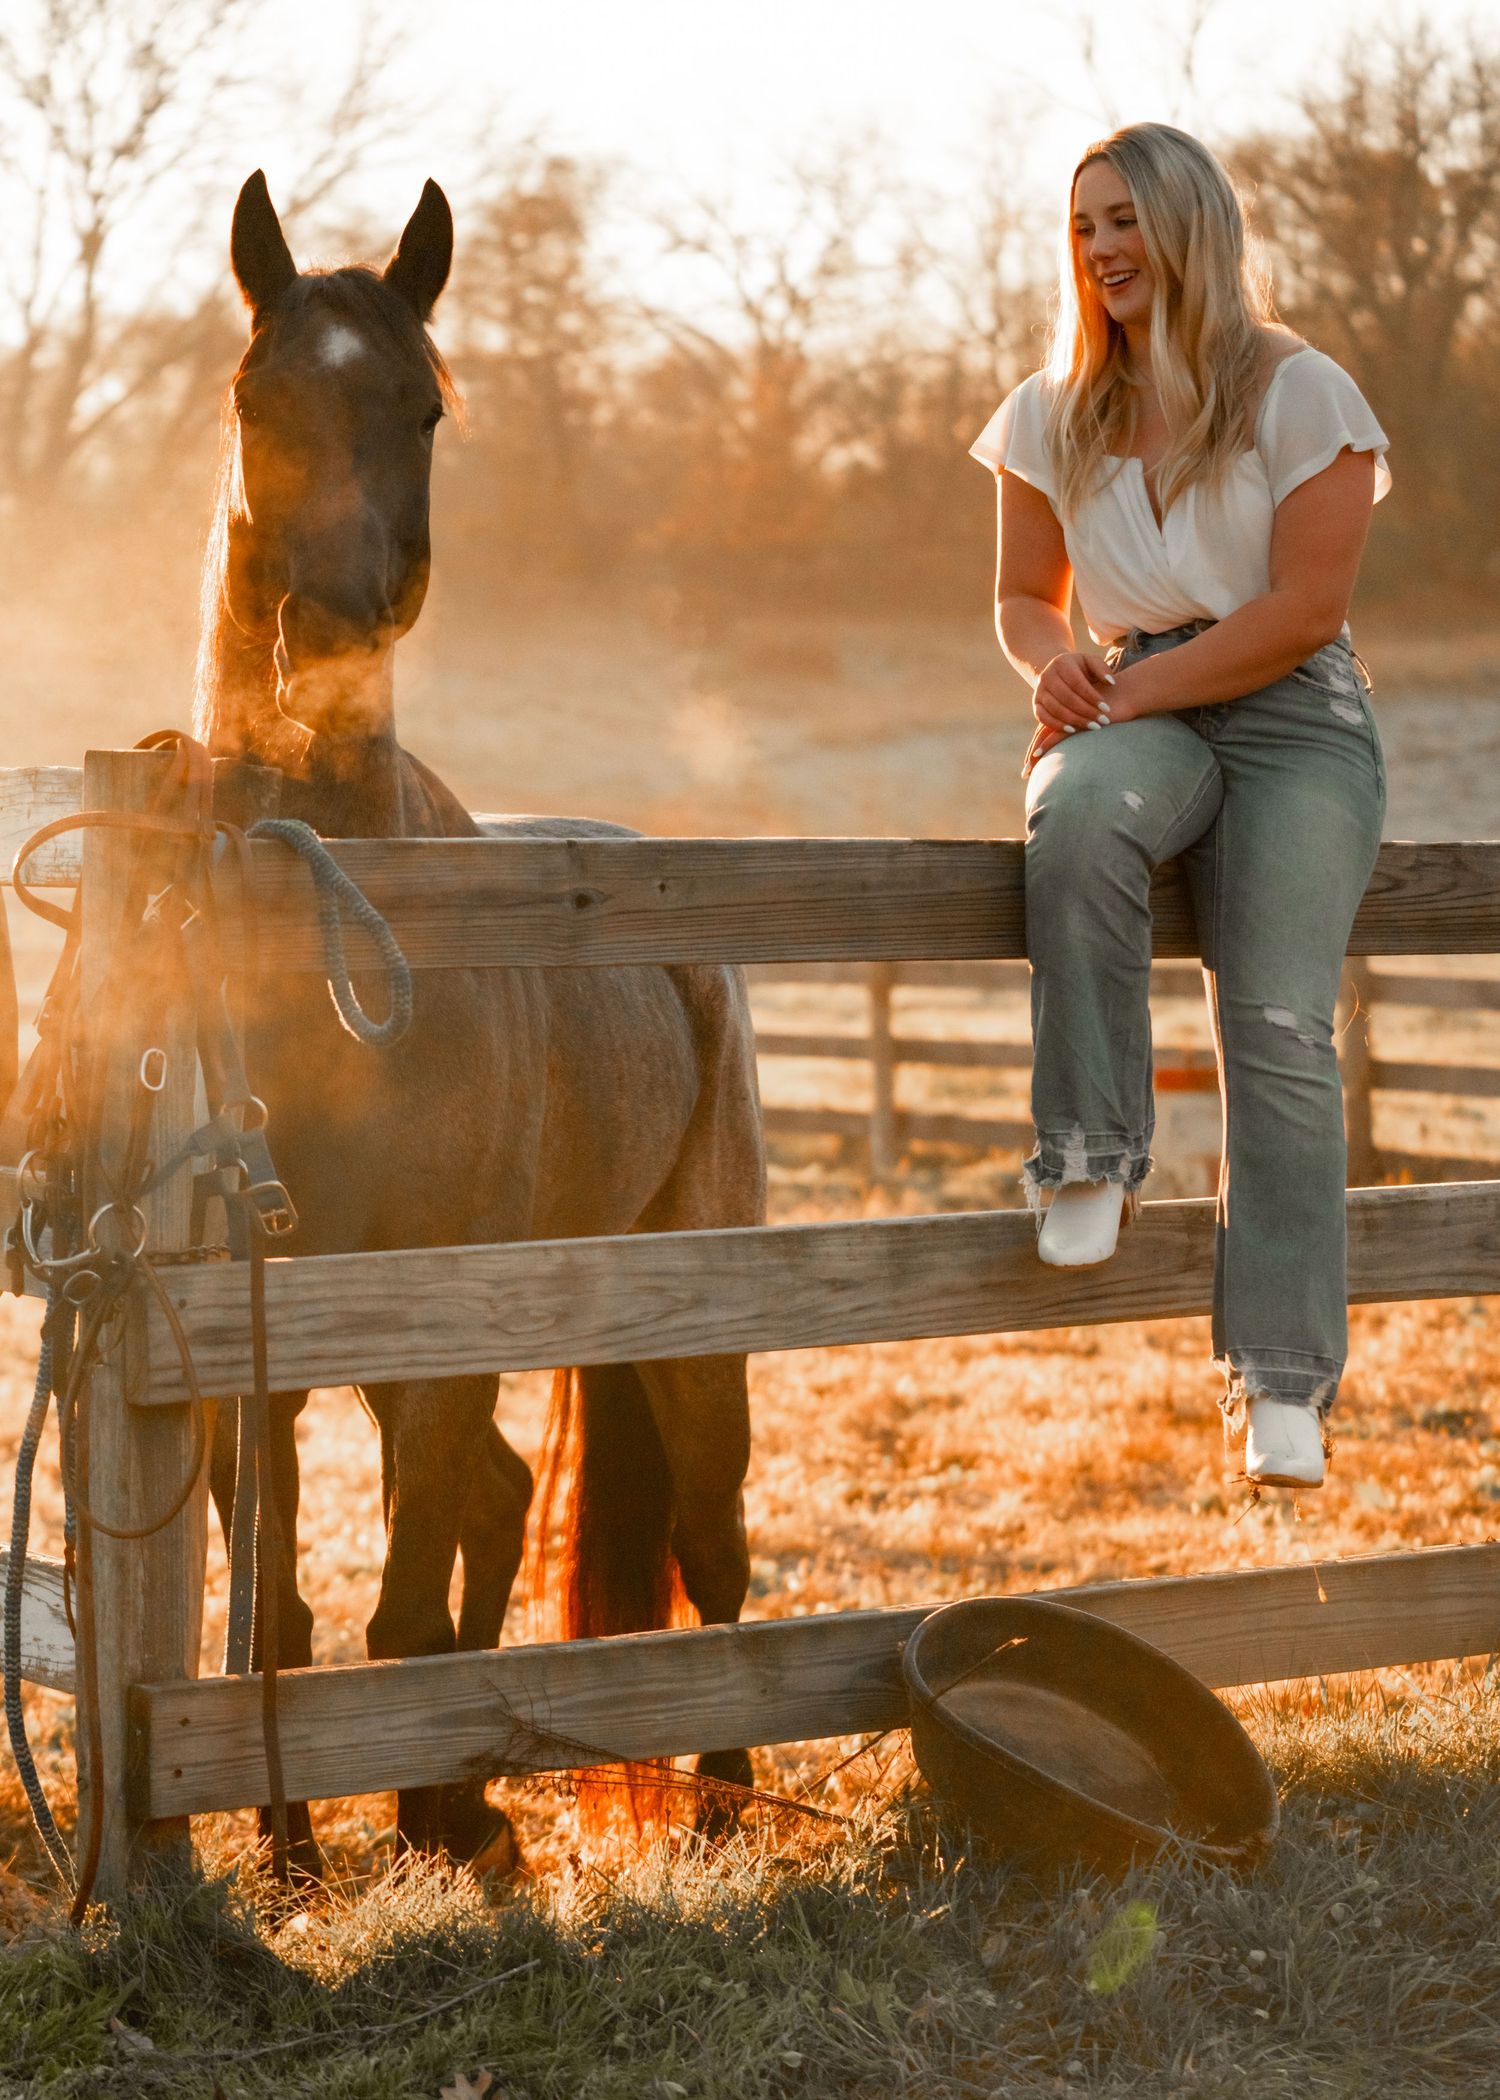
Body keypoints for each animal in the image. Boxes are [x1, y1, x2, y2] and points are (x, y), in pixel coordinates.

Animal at [195, 170, 767, 1875]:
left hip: (687, 1312)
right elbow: (278, 1617)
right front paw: (299, 1852)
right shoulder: (249, 1346)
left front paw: (411, 1826)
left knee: (714, 1544)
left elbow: (393, 1609)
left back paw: (716, 1798)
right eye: (256, 396)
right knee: (508, 1500)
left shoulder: (430, 1324)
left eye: (427, 406)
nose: (328, 621)